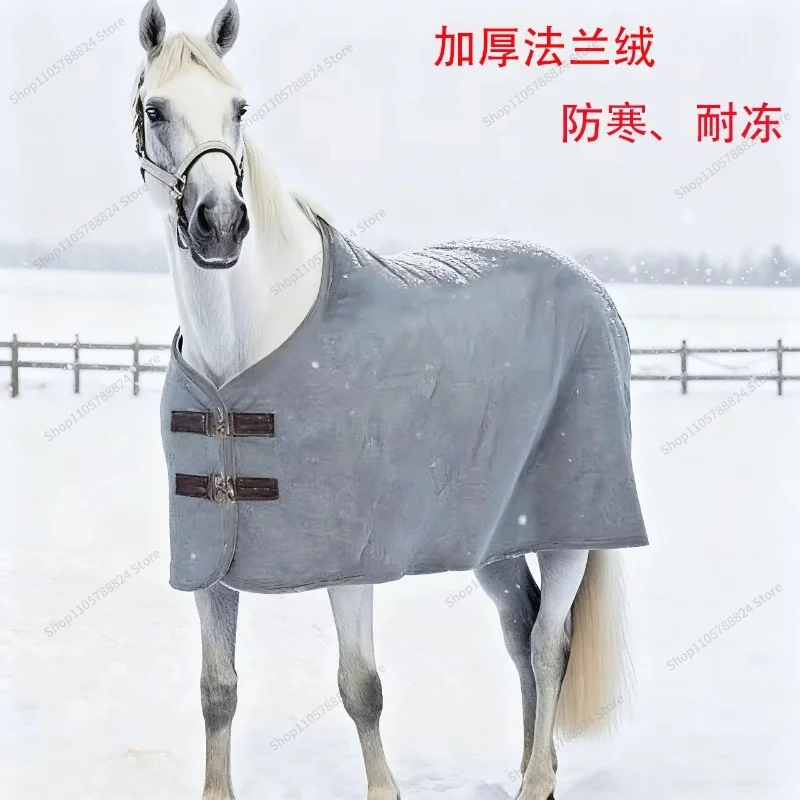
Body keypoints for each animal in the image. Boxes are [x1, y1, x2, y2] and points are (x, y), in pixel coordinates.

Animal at [133, 2, 645, 798]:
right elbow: (218, 692)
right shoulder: (206, 562)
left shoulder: (352, 563)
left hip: (570, 531)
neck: (245, 349)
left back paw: (535, 780)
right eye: (156, 109)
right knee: (520, 628)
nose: (219, 224)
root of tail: (594, 289)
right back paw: (536, 765)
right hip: (495, 536)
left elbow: (360, 688)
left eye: (239, 108)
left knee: (549, 643)